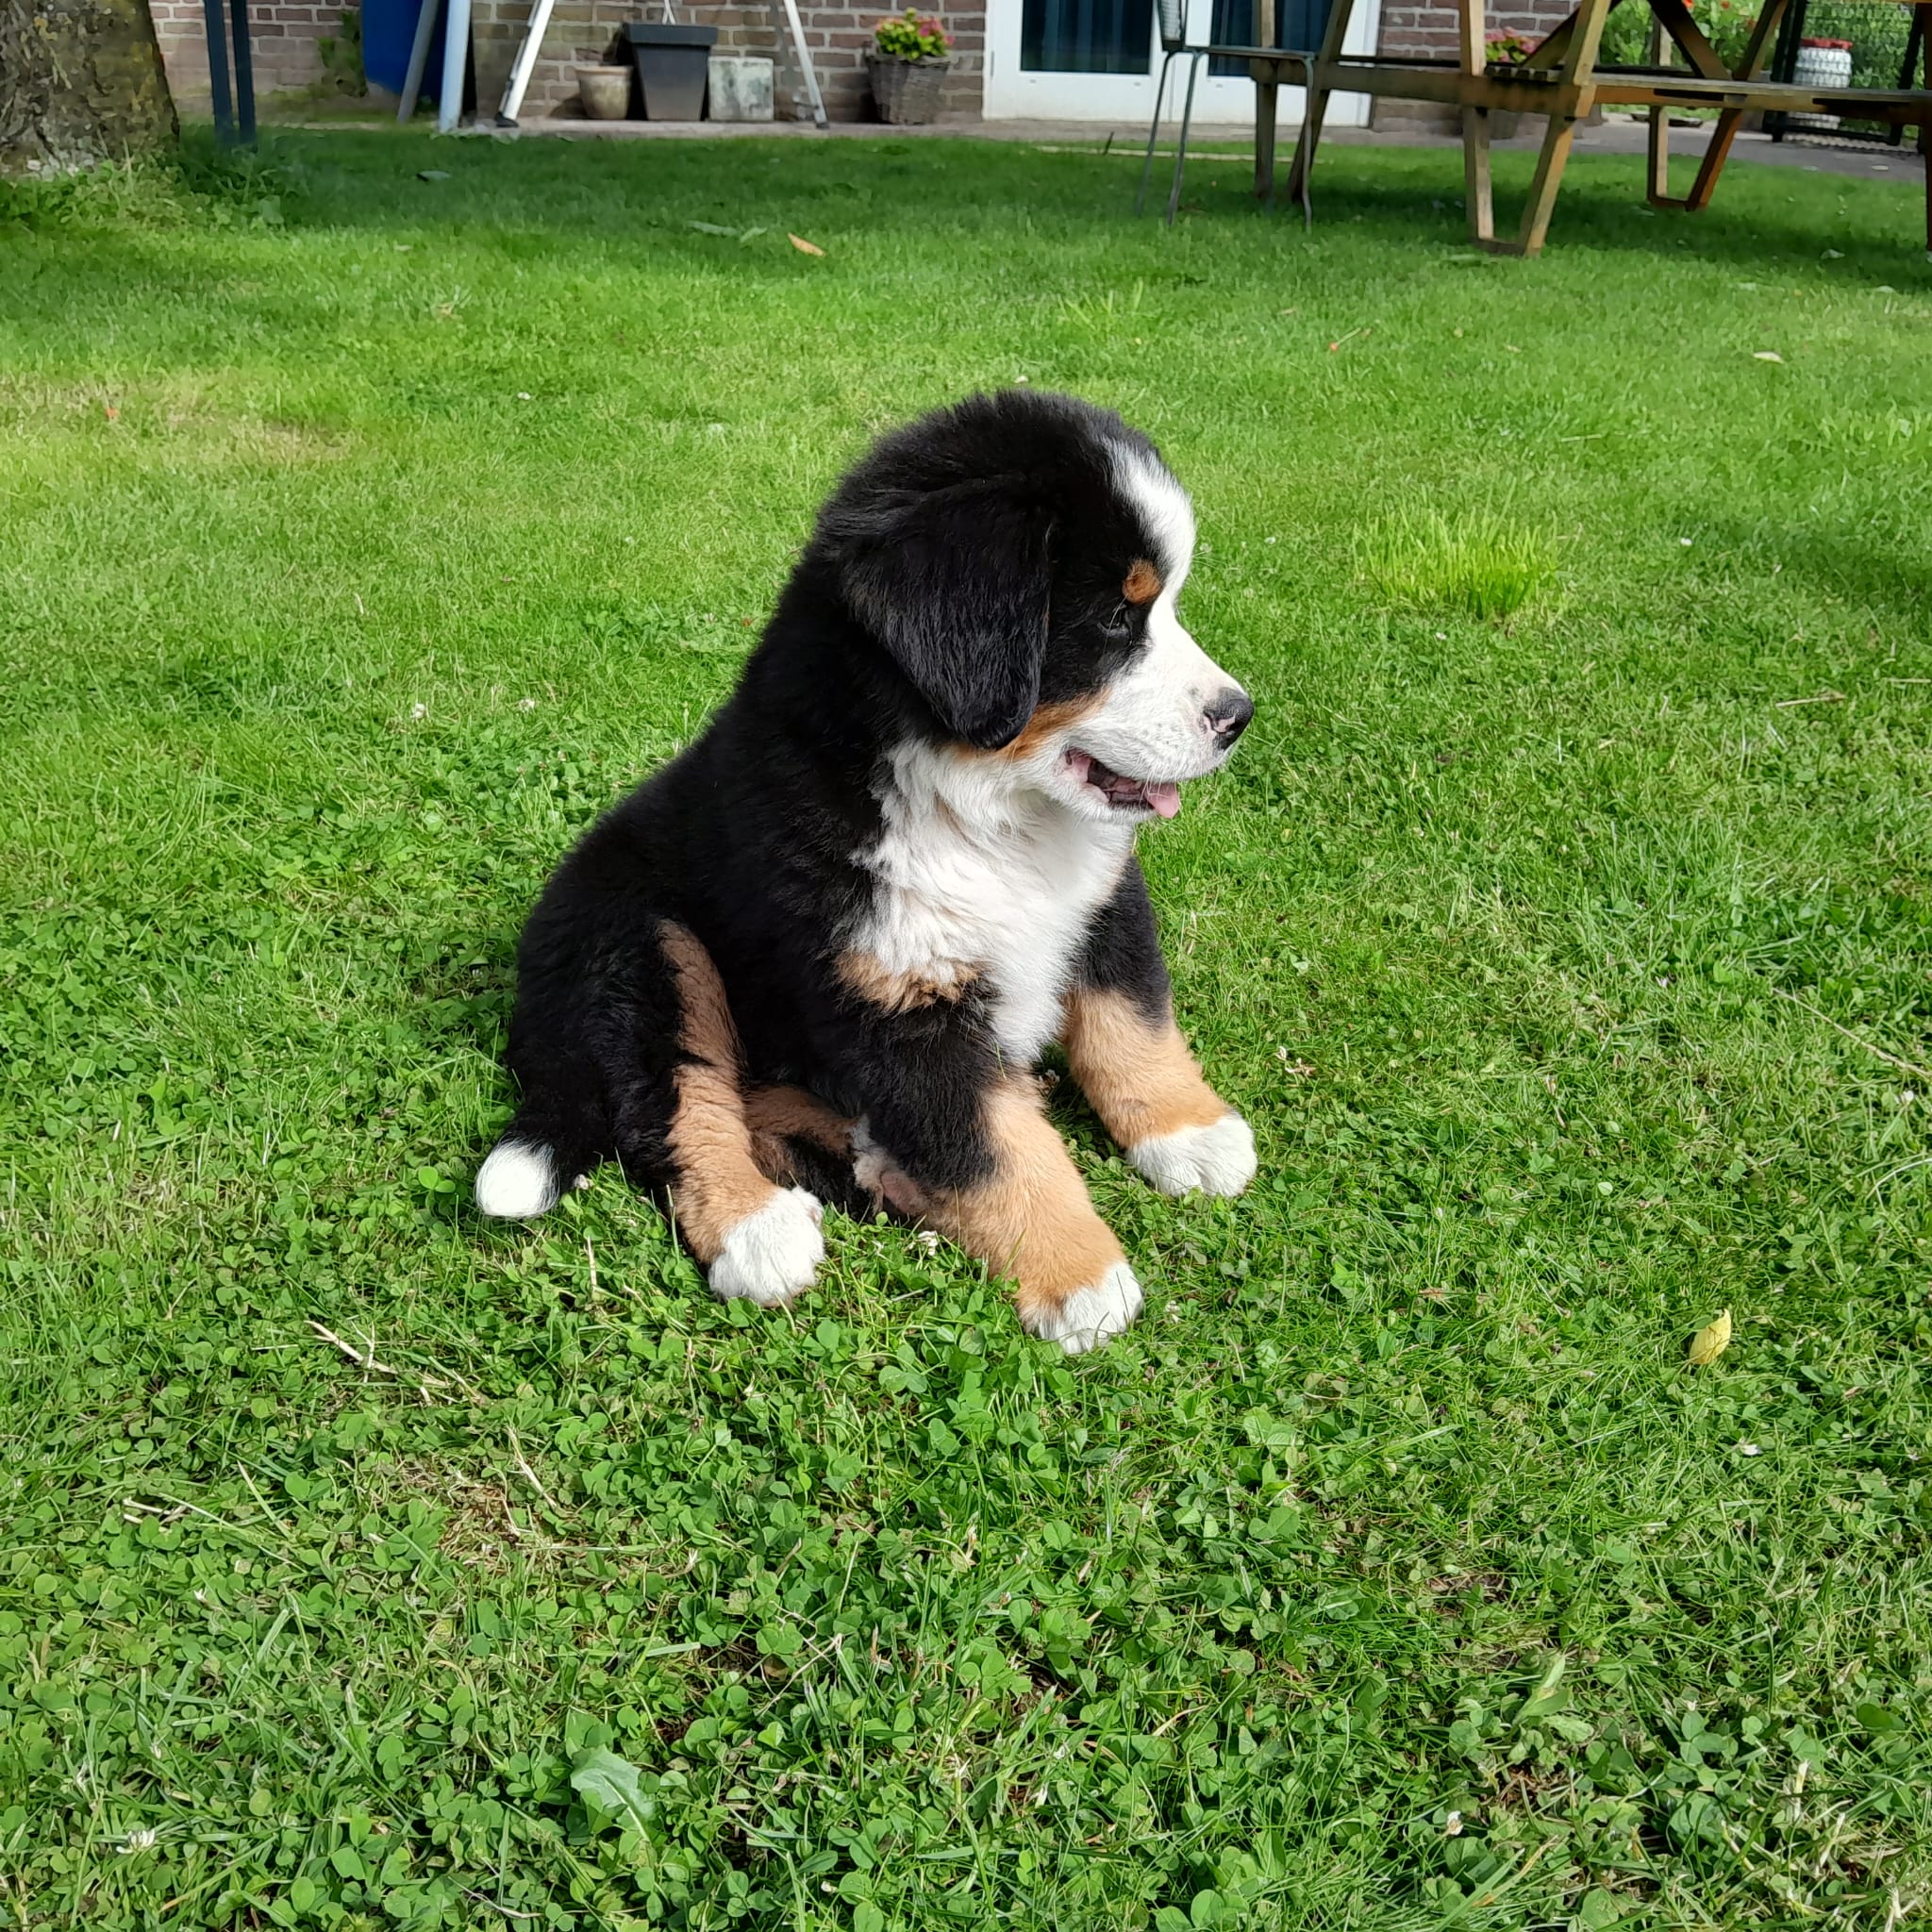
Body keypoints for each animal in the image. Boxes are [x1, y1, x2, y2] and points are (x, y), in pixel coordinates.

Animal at [480, 390, 1252, 1352]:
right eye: (1116, 618)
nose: (1238, 716)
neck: (984, 811)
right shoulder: (892, 995)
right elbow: (993, 1146)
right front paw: (1080, 1275)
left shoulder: (1104, 903)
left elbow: (1131, 1028)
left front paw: (1189, 1134)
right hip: (641, 941)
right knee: (675, 1102)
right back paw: (757, 1229)